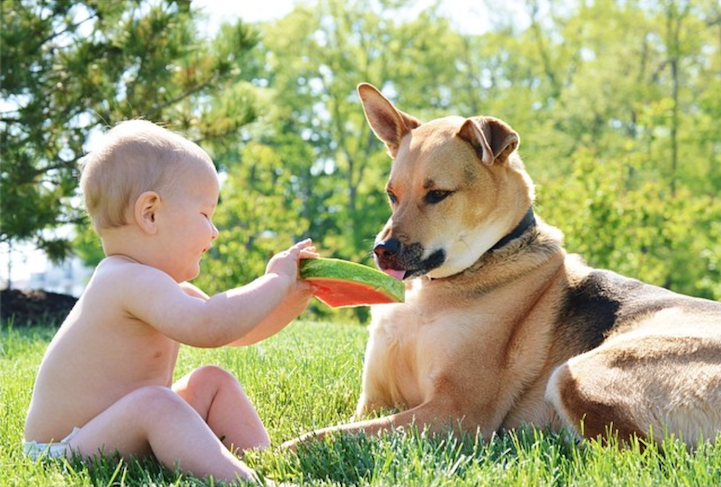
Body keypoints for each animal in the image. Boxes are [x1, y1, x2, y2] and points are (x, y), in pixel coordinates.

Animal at [282, 83, 720, 450]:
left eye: (438, 194)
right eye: (391, 195)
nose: (381, 250)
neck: (436, 289)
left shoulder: (455, 413)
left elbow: (326, 436)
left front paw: (280, 456)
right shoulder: (373, 401)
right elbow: (335, 424)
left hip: (577, 375)